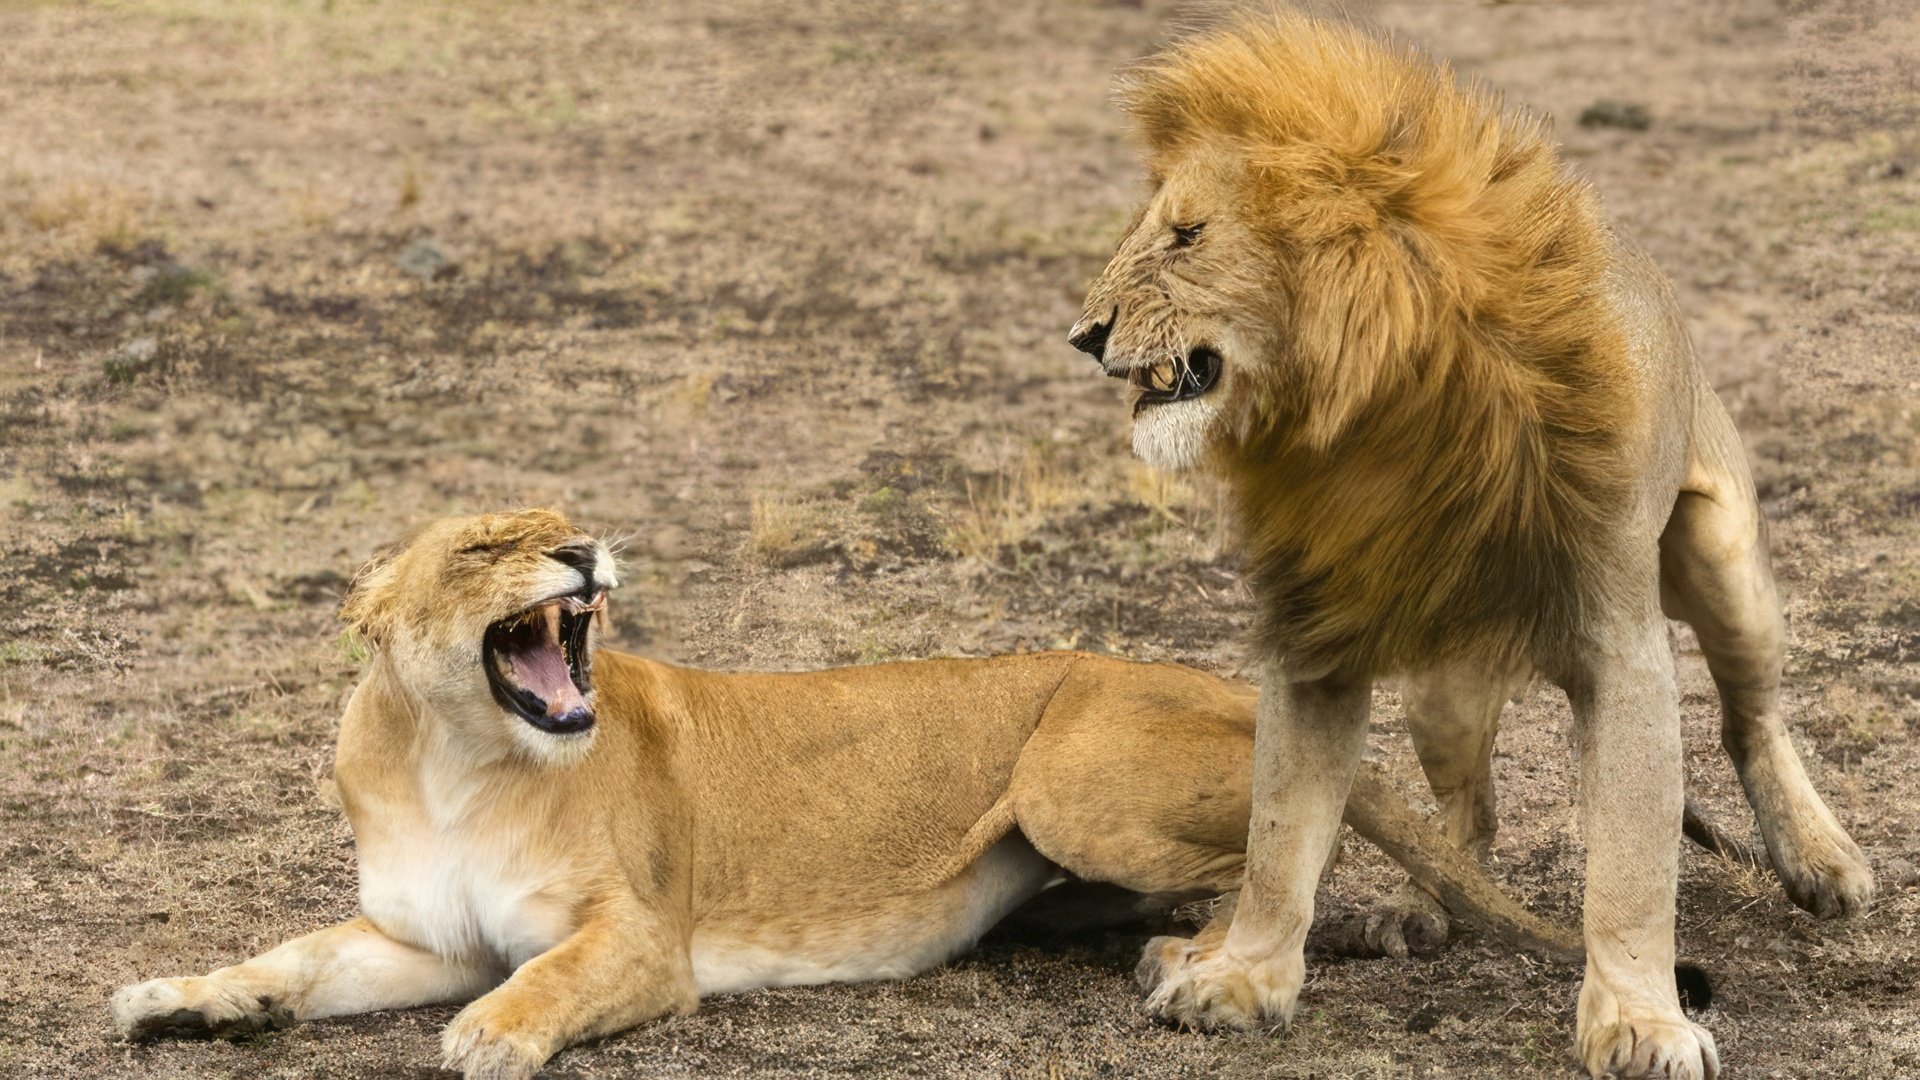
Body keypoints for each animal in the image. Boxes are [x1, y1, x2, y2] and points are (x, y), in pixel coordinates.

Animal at [112, 507, 1566, 1076]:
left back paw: (1201, 967)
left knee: (1262, 861)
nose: (584, 553)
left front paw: (492, 1037)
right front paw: (186, 1002)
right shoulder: (420, 938)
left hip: (1068, 776)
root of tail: (1221, 685)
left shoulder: (639, 942)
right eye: (483, 546)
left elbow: (548, 980)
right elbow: (293, 960)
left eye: (566, 521)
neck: (457, 760)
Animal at [1067, 14, 1873, 1076]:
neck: (1377, 403)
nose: (1083, 334)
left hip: (1723, 556)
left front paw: (1642, 1019)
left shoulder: (1621, 642)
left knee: (1752, 717)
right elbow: (1280, 833)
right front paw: (1239, 974)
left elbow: (1629, 861)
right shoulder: (1316, 628)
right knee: (1469, 817)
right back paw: (1422, 907)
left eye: (1188, 235)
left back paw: (1822, 859)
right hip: (1444, 695)